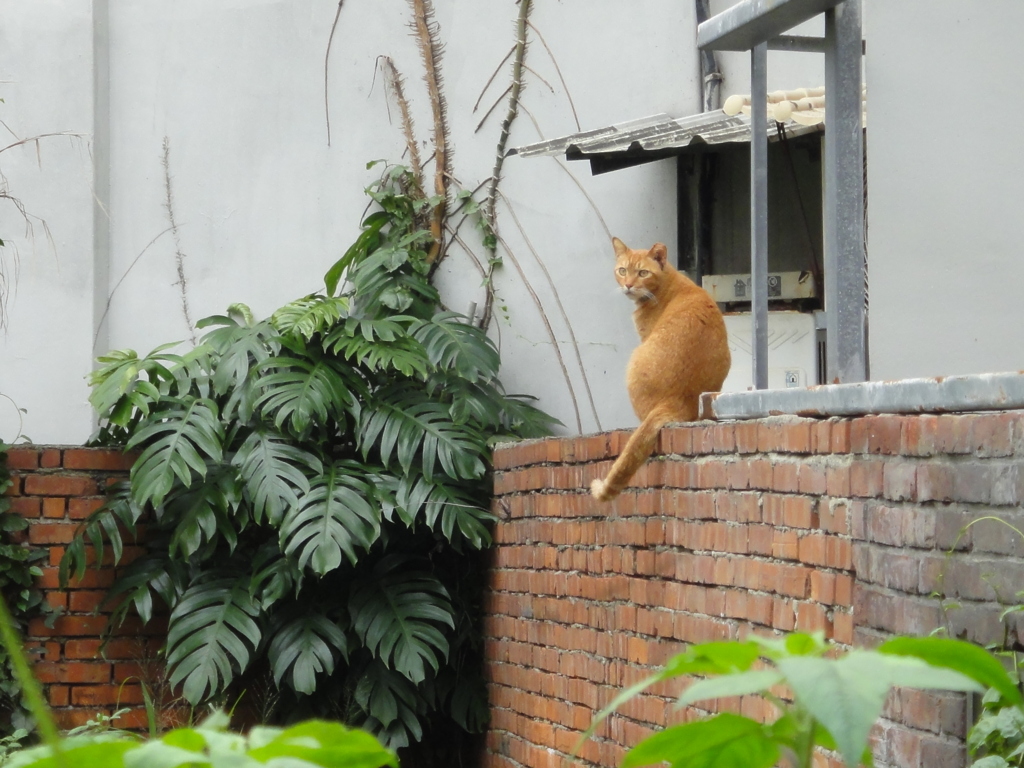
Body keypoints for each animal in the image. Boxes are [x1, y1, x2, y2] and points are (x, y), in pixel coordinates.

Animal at [589, 240, 733, 505]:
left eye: (642, 273)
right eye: (623, 270)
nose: (628, 285)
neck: (668, 282)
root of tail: (675, 400)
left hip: (634, 360)